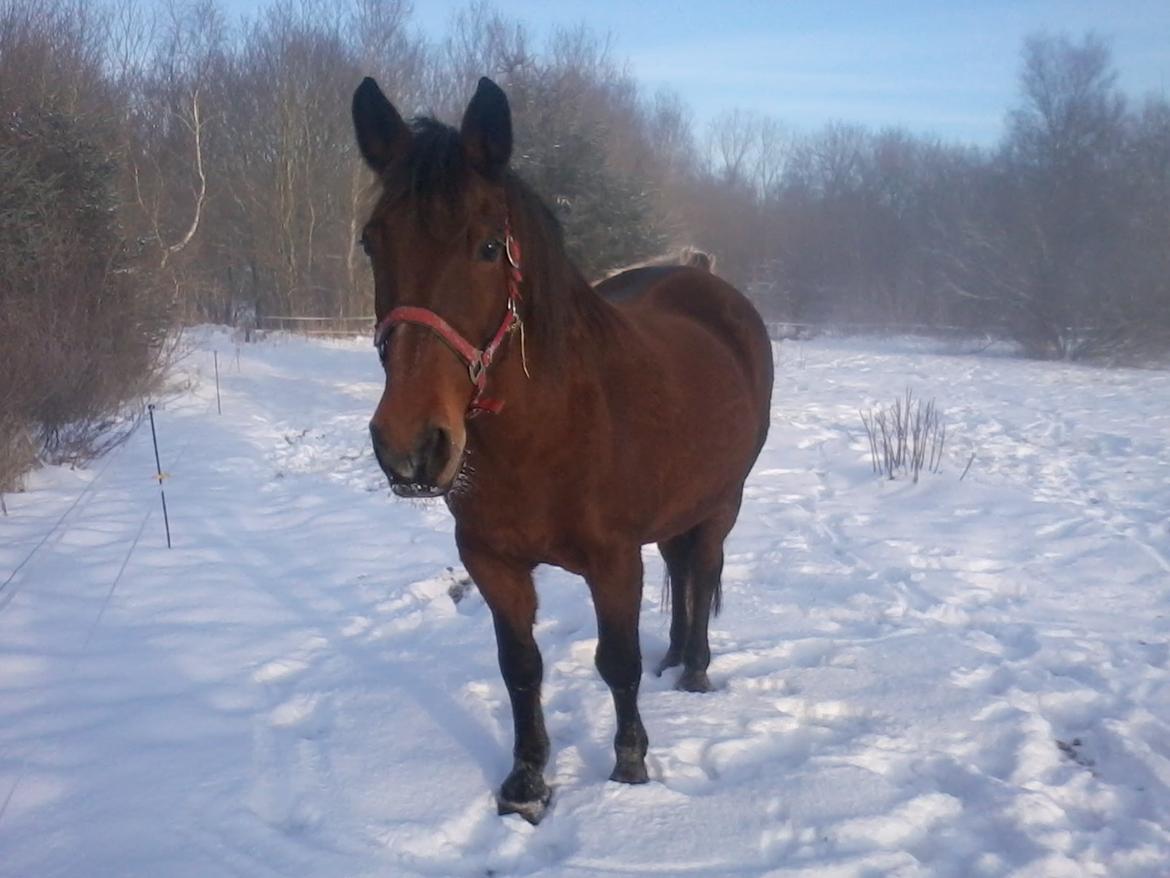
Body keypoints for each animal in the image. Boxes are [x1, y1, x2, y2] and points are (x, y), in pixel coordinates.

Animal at [355, 75, 776, 824]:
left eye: (490, 246)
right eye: (373, 243)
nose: (410, 445)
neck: (545, 436)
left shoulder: (612, 561)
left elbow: (617, 663)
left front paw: (630, 771)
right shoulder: (491, 562)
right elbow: (521, 669)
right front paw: (526, 784)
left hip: (723, 500)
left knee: (702, 569)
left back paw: (695, 671)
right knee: (682, 567)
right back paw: (676, 659)